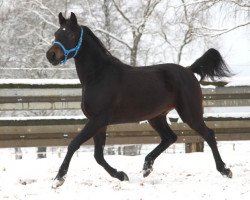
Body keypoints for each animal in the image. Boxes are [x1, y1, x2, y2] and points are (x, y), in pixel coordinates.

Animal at [46, 12, 232, 188]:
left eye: (71, 34)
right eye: (56, 34)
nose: (51, 55)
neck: (98, 76)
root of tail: (188, 70)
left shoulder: (98, 120)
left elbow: (74, 144)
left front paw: (58, 179)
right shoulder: (98, 122)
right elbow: (98, 156)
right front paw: (122, 175)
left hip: (190, 114)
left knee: (209, 135)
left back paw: (225, 170)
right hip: (156, 117)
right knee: (170, 137)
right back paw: (147, 167)